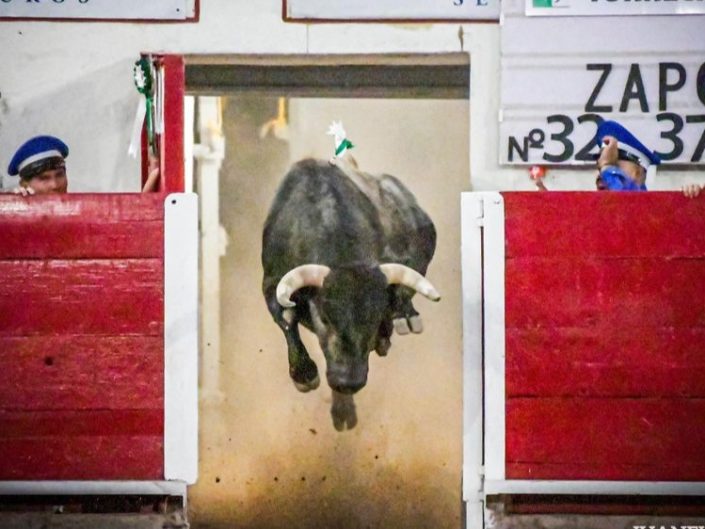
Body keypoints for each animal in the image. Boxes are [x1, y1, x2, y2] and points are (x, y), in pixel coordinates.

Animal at [262, 158, 438, 428]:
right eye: (324, 318)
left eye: (374, 317)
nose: (348, 381)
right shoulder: (271, 282)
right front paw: (304, 374)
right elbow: (287, 319)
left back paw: (405, 318)